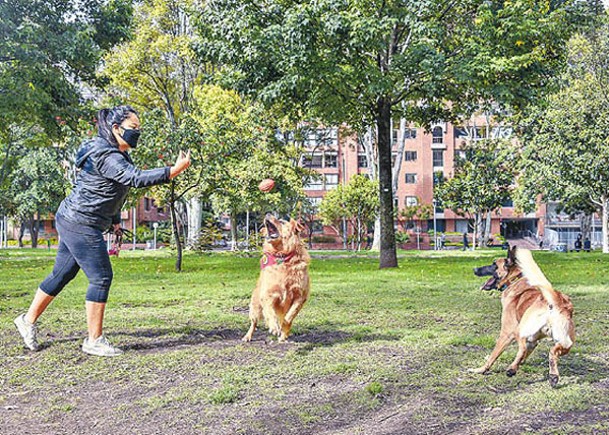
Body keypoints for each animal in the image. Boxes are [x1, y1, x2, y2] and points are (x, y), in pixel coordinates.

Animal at [241, 215, 312, 344]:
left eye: (282, 221)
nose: (267, 214)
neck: (283, 257)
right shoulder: (268, 295)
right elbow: (270, 312)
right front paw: (274, 327)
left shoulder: (300, 297)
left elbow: (289, 317)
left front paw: (283, 331)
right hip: (255, 307)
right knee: (254, 323)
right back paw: (248, 336)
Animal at [470, 245, 576, 388]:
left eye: (494, 264)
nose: (474, 269)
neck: (514, 280)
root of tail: (557, 301)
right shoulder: (533, 340)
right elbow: (525, 354)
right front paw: (518, 364)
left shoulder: (506, 333)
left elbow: (493, 356)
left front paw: (481, 369)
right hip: (566, 343)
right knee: (552, 351)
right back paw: (552, 375)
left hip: (518, 331)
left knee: (523, 348)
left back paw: (511, 370)